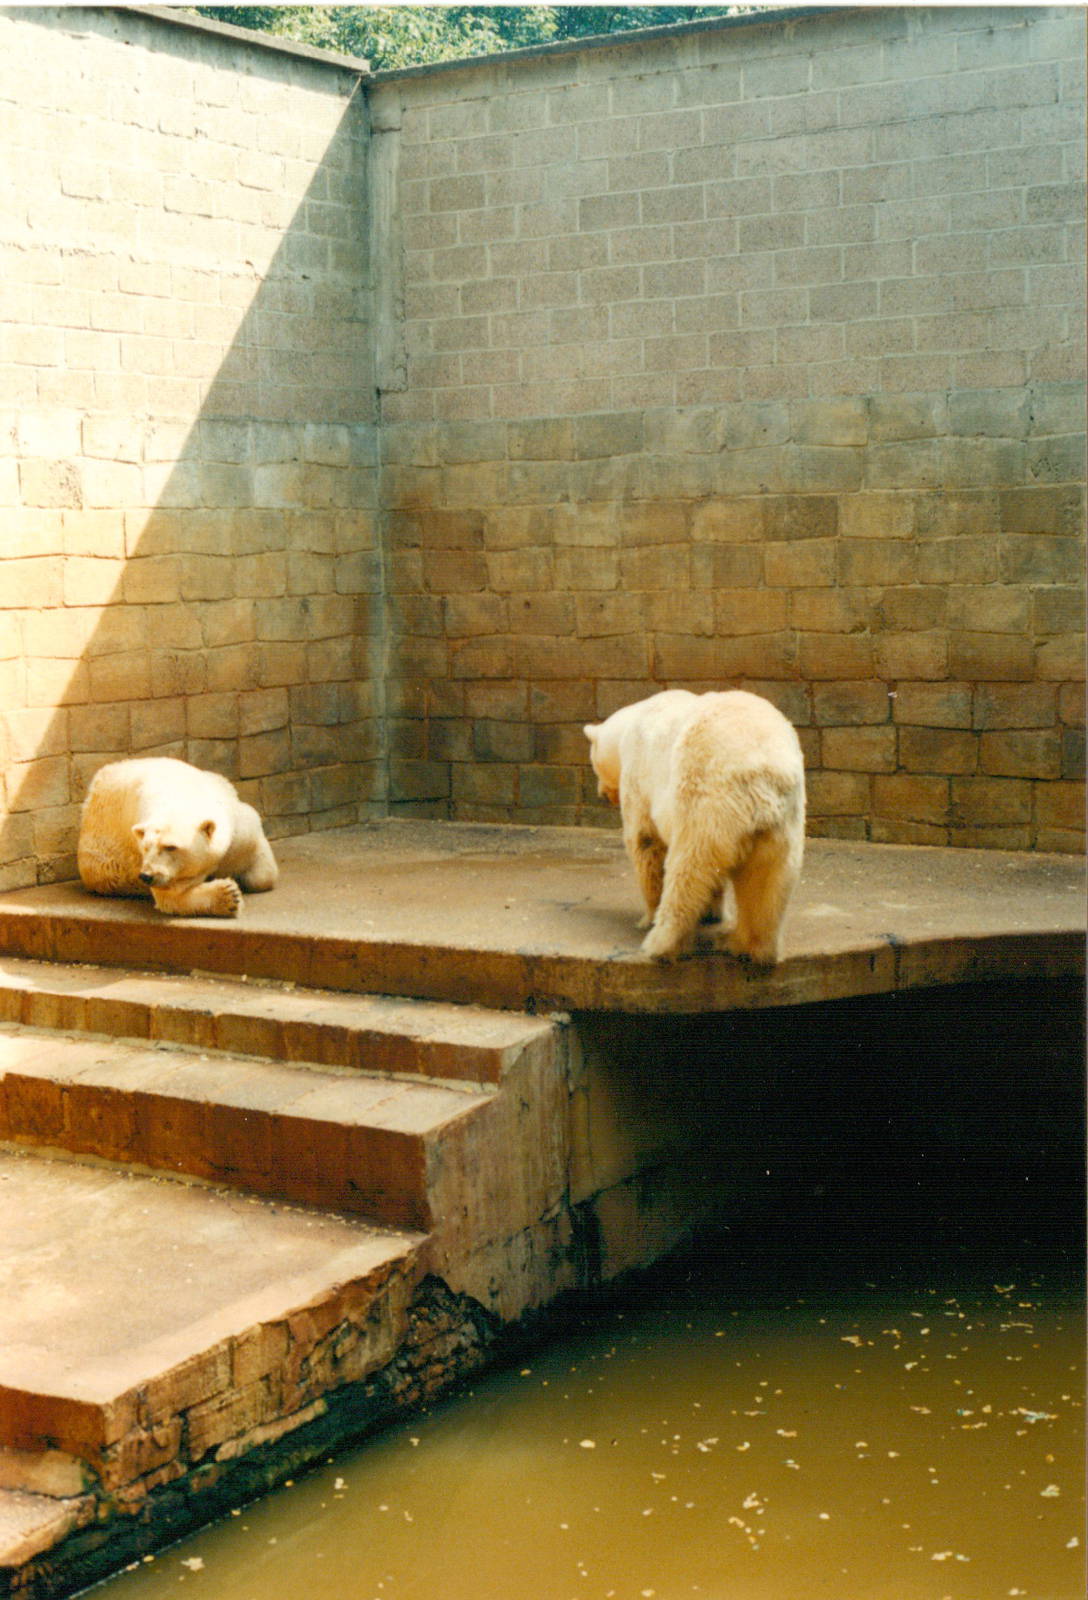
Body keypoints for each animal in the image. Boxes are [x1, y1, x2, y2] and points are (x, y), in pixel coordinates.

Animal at [77, 757, 278, 918]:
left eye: (171, 846)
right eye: (145, 847)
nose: (147, 876)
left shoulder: (240, 830)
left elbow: (263, 874)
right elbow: (170, 896)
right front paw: (228, 895)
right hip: (104, 861)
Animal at [584, 689, 805, 964]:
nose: (603, 794)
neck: (631, 725)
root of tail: (762, 774)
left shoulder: (639, 775)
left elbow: (645, 842)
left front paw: (647, 917)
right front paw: (711, 914)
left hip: (705, 798)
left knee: (688, 866)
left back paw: (660, 943)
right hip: (782, 825)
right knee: (767, 882)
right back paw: (747, 946)